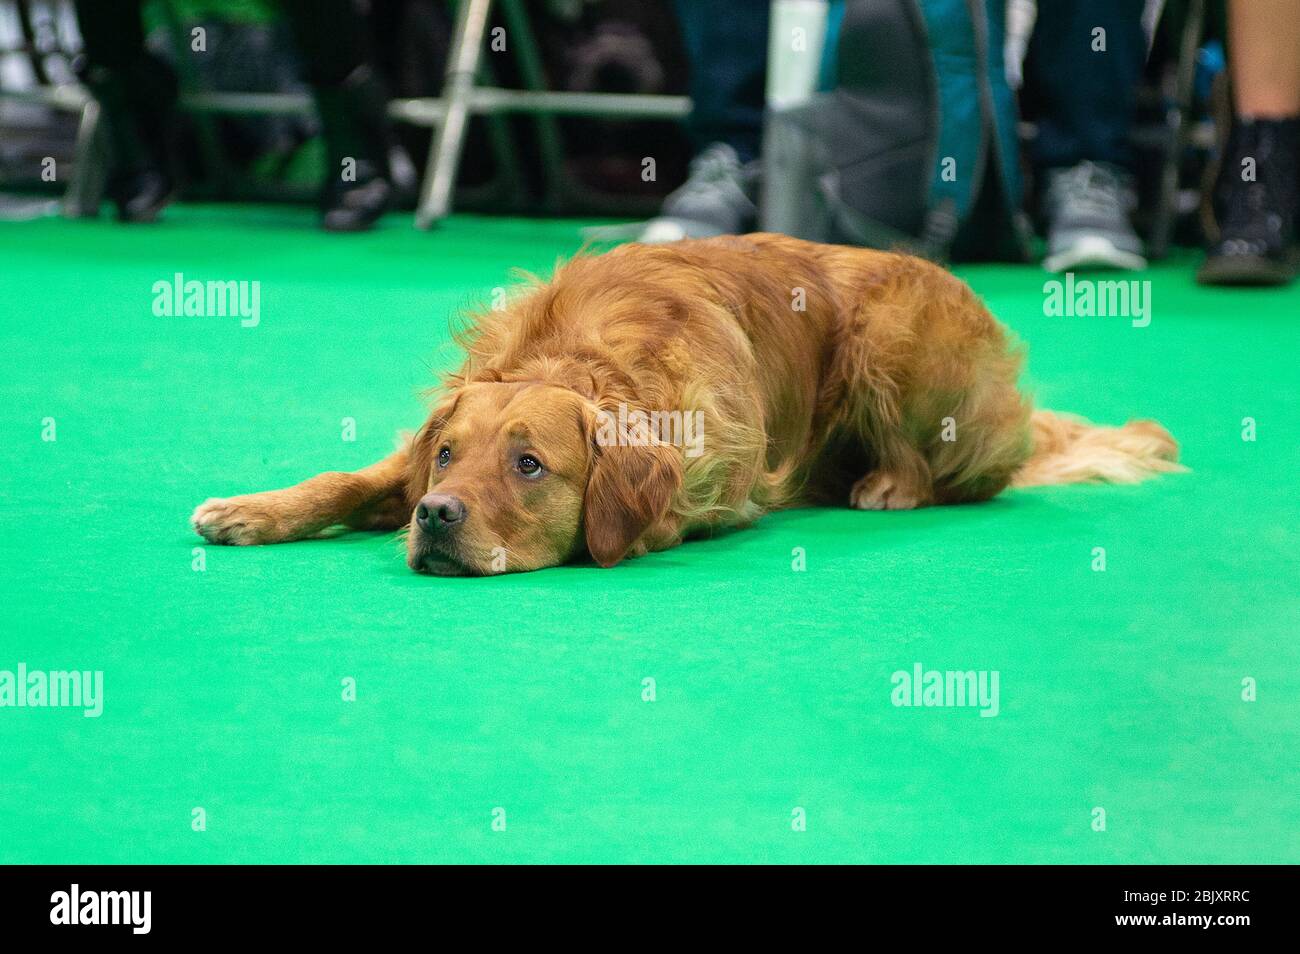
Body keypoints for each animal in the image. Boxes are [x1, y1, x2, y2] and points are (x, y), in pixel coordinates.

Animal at [189, 233, 1180, 574]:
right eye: (445, 456)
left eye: (529, 465)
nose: (434, 516)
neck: (589, 359)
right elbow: (348, 480)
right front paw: (251, 508)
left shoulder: (718, 482)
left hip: (893, 326)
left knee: (955, 471)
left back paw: (890, 484)